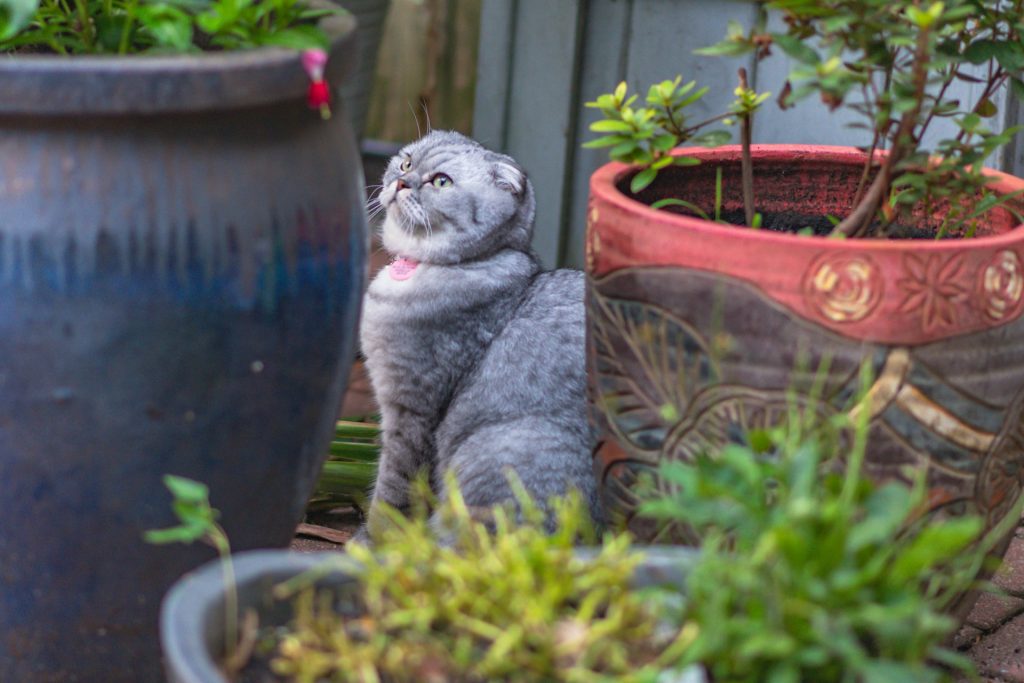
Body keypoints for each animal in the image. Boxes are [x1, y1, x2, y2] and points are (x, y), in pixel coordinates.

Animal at [358, 129, 602, 540]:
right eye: (406, 163)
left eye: (441, 182)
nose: (402, 181)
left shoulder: (413, 411)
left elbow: (393, 489)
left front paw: (374, 540)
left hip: (501, 448)